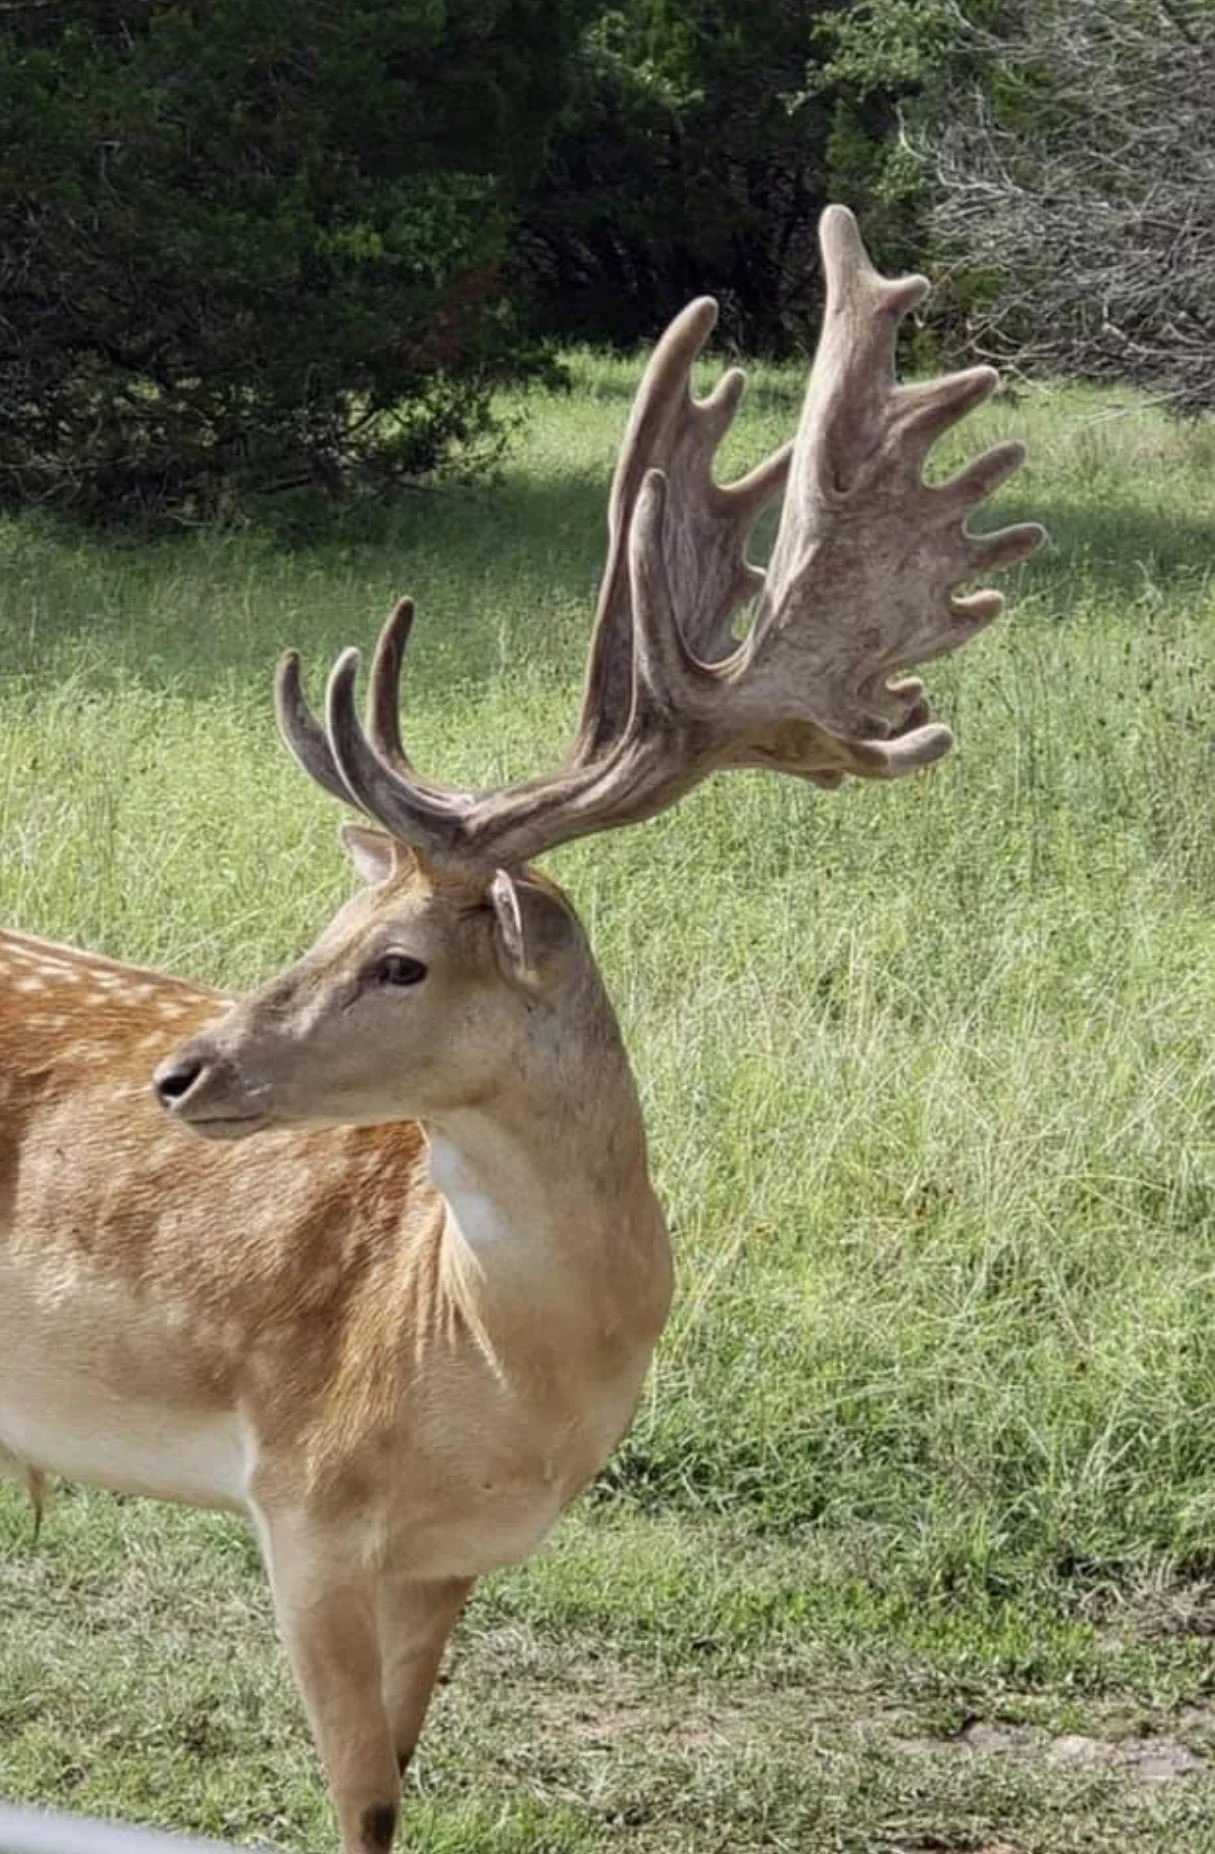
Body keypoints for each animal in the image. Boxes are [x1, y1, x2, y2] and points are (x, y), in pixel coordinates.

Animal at [0, 209, 1042, 1852]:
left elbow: (396, 1793)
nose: (183, 1070)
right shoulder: (298, 1504)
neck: (496, 1369)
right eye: (336, 923)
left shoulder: (454, 1559)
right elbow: (354, 1801)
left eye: (398, 960)